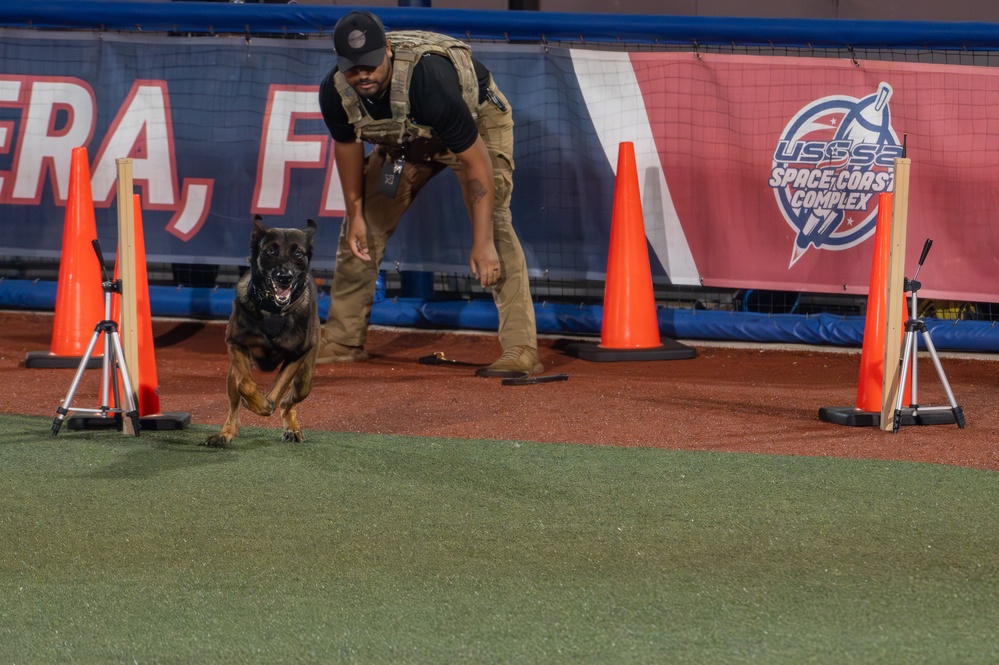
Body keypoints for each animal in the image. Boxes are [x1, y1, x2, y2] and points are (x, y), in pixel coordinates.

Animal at [206, 215, 322, 448]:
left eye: (298, 253)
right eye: (270, 251)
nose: (284, 277)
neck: (273, 310)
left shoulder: (298, 354)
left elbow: (278, 389)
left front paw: (265, 404)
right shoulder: (236, 345)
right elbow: (245, 385)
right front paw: (257, 403)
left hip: (305, 378)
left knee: (289, 399)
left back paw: (292, 427)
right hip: (232, 372)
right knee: (235, 401)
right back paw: (226, 433)